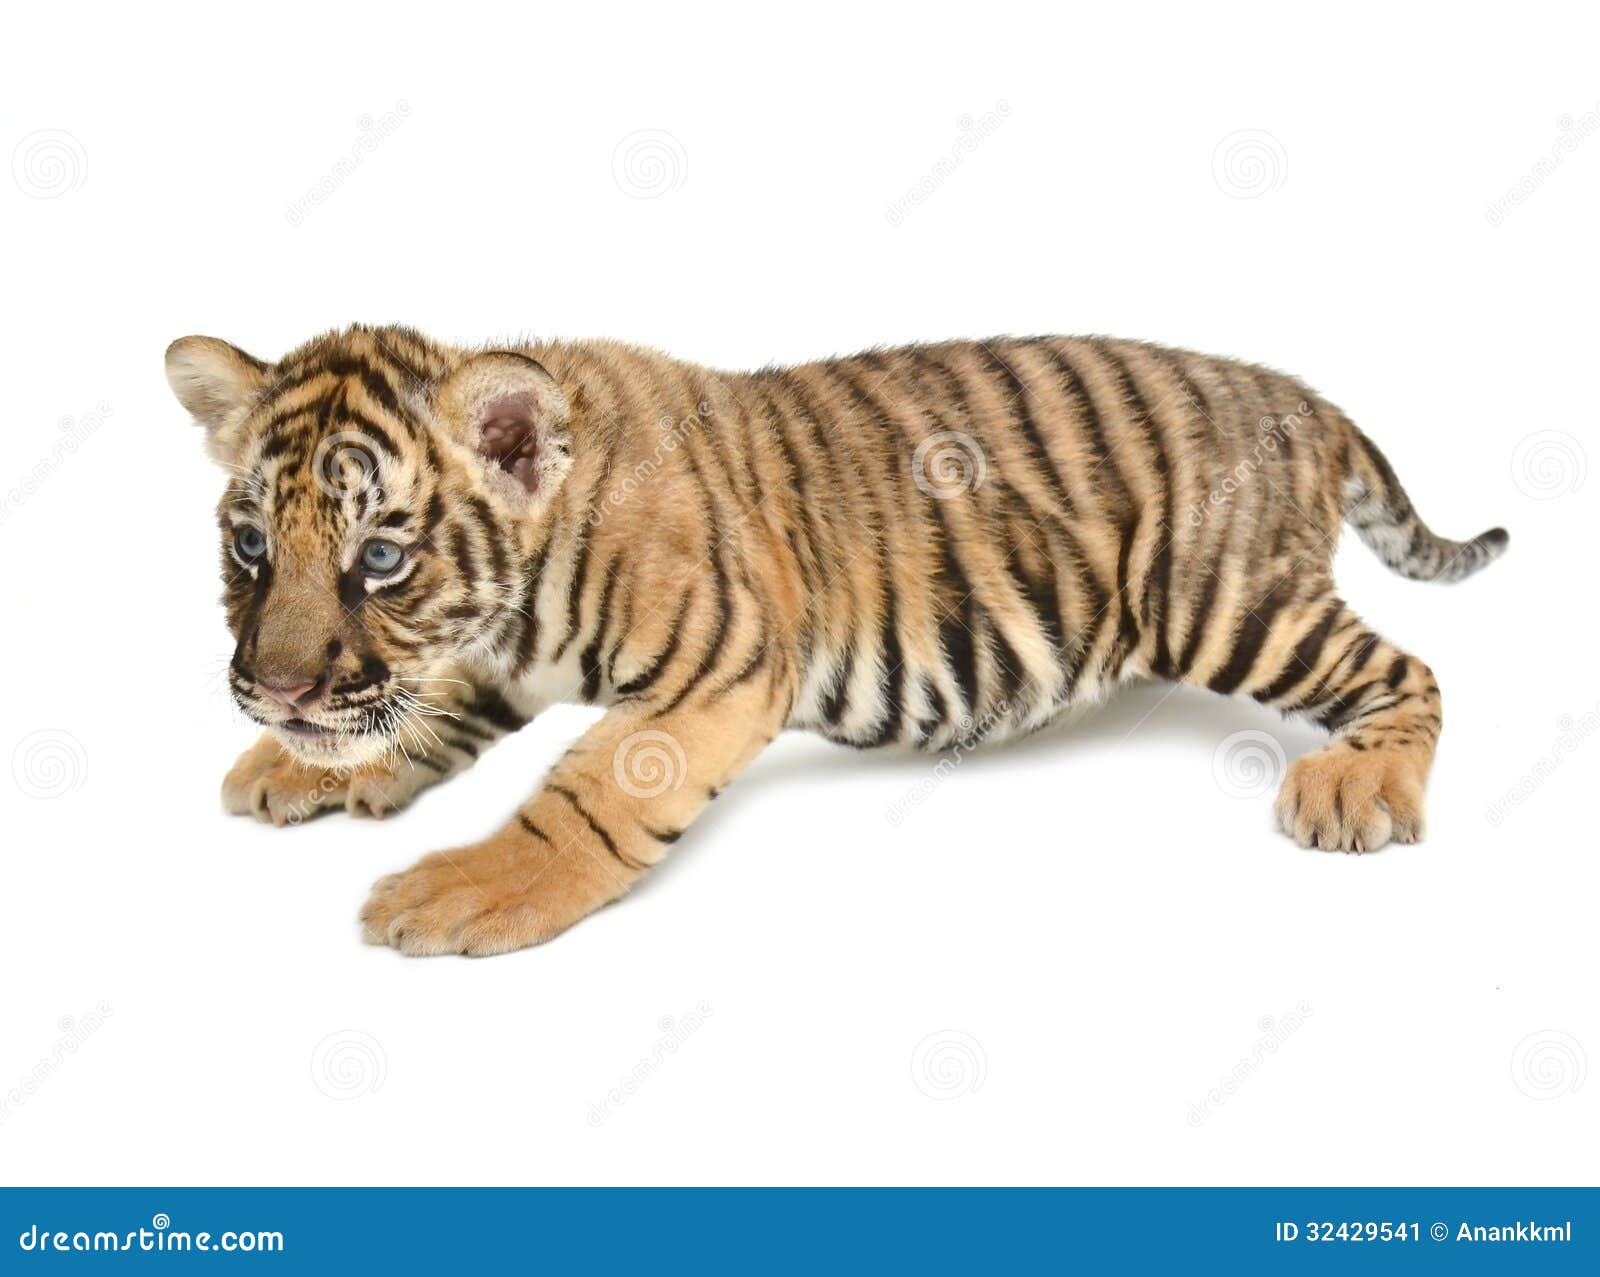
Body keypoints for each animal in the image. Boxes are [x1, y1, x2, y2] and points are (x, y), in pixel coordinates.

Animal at [165, 324, 1508, 957]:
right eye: (251, 544)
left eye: (380, 558)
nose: (271, 693)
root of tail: (1305, 397)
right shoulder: (488, 662)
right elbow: (428, 704)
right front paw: (301, 764)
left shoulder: (720, 668)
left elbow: (585, 796)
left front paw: (462, 890)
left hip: (1221, 599)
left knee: (1409, 670)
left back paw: (1357, 788)